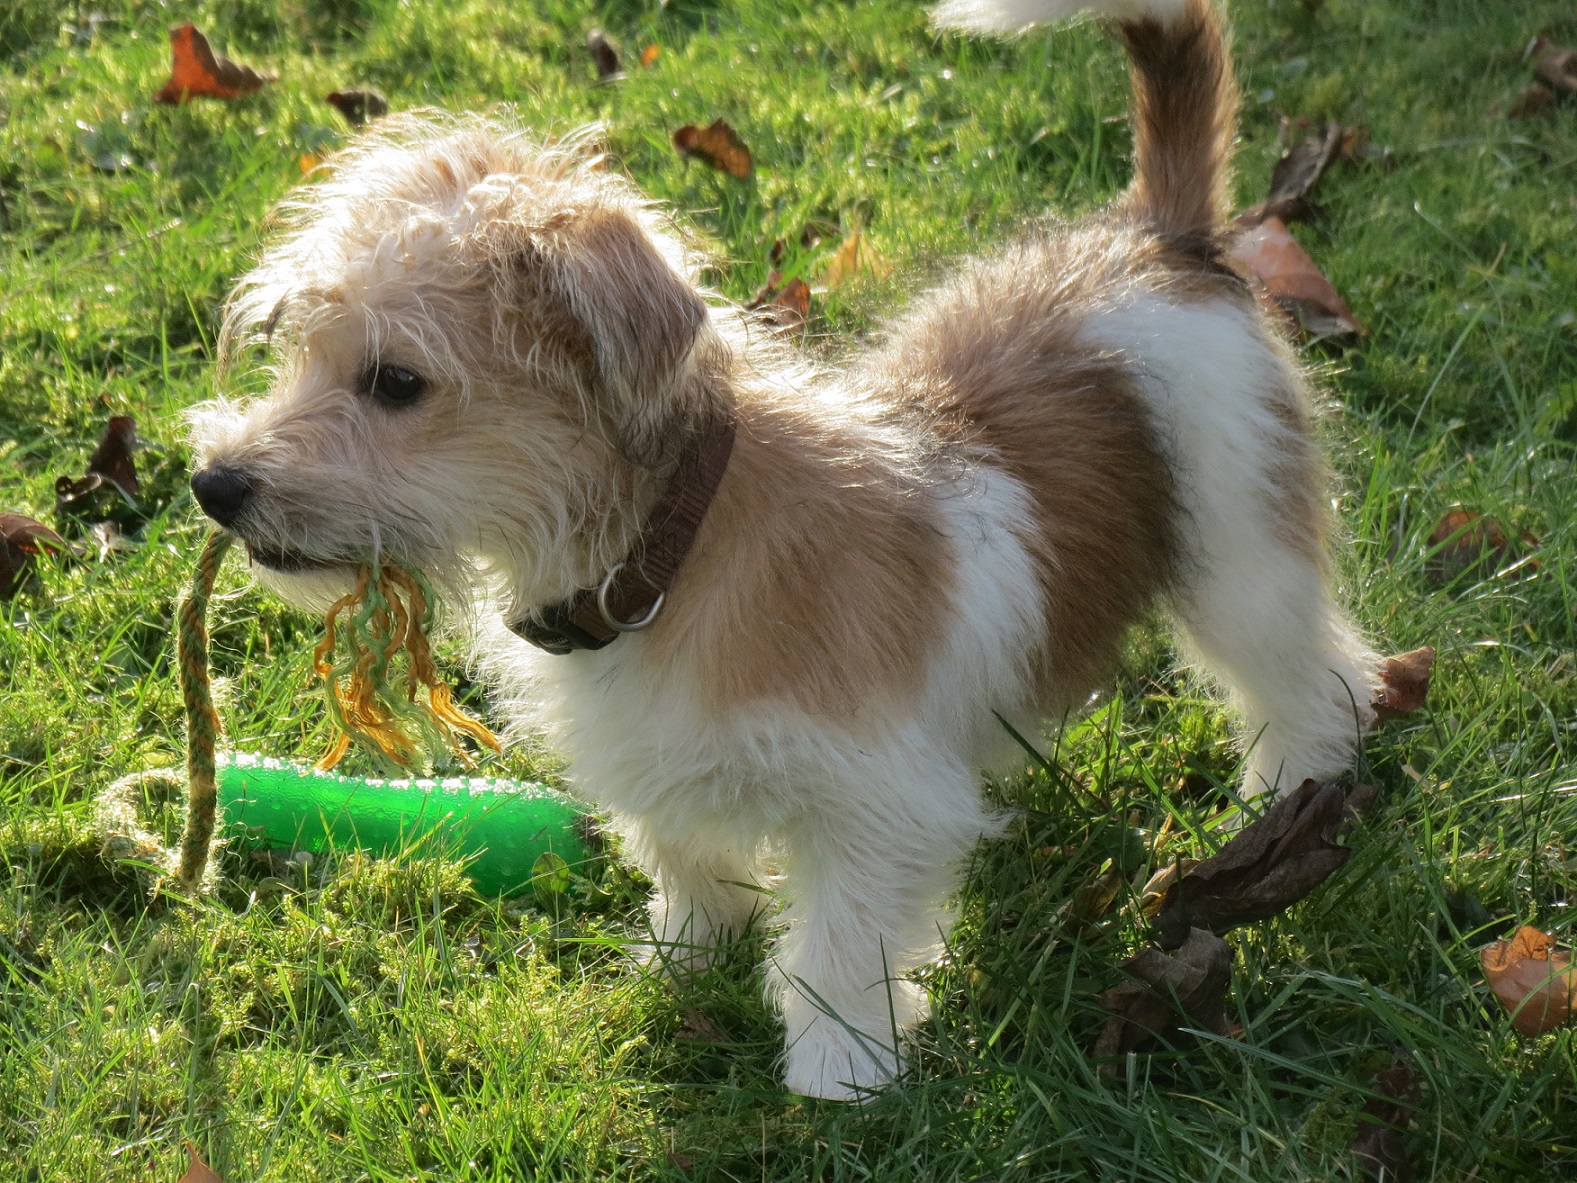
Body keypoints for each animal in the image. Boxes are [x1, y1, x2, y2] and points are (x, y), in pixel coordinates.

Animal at [190, 0, 1381, 1104]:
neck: (675, 553)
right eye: (299, 354)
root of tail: (1154, 237)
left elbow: (840, 945)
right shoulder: (657, 761)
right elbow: (686, 862)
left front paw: (838, 1070)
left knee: (1316, 677)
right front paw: (682, 958)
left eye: (396, 382)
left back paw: (1290, 794)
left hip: (1239, 556)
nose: (214, 485)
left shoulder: (875, 807)